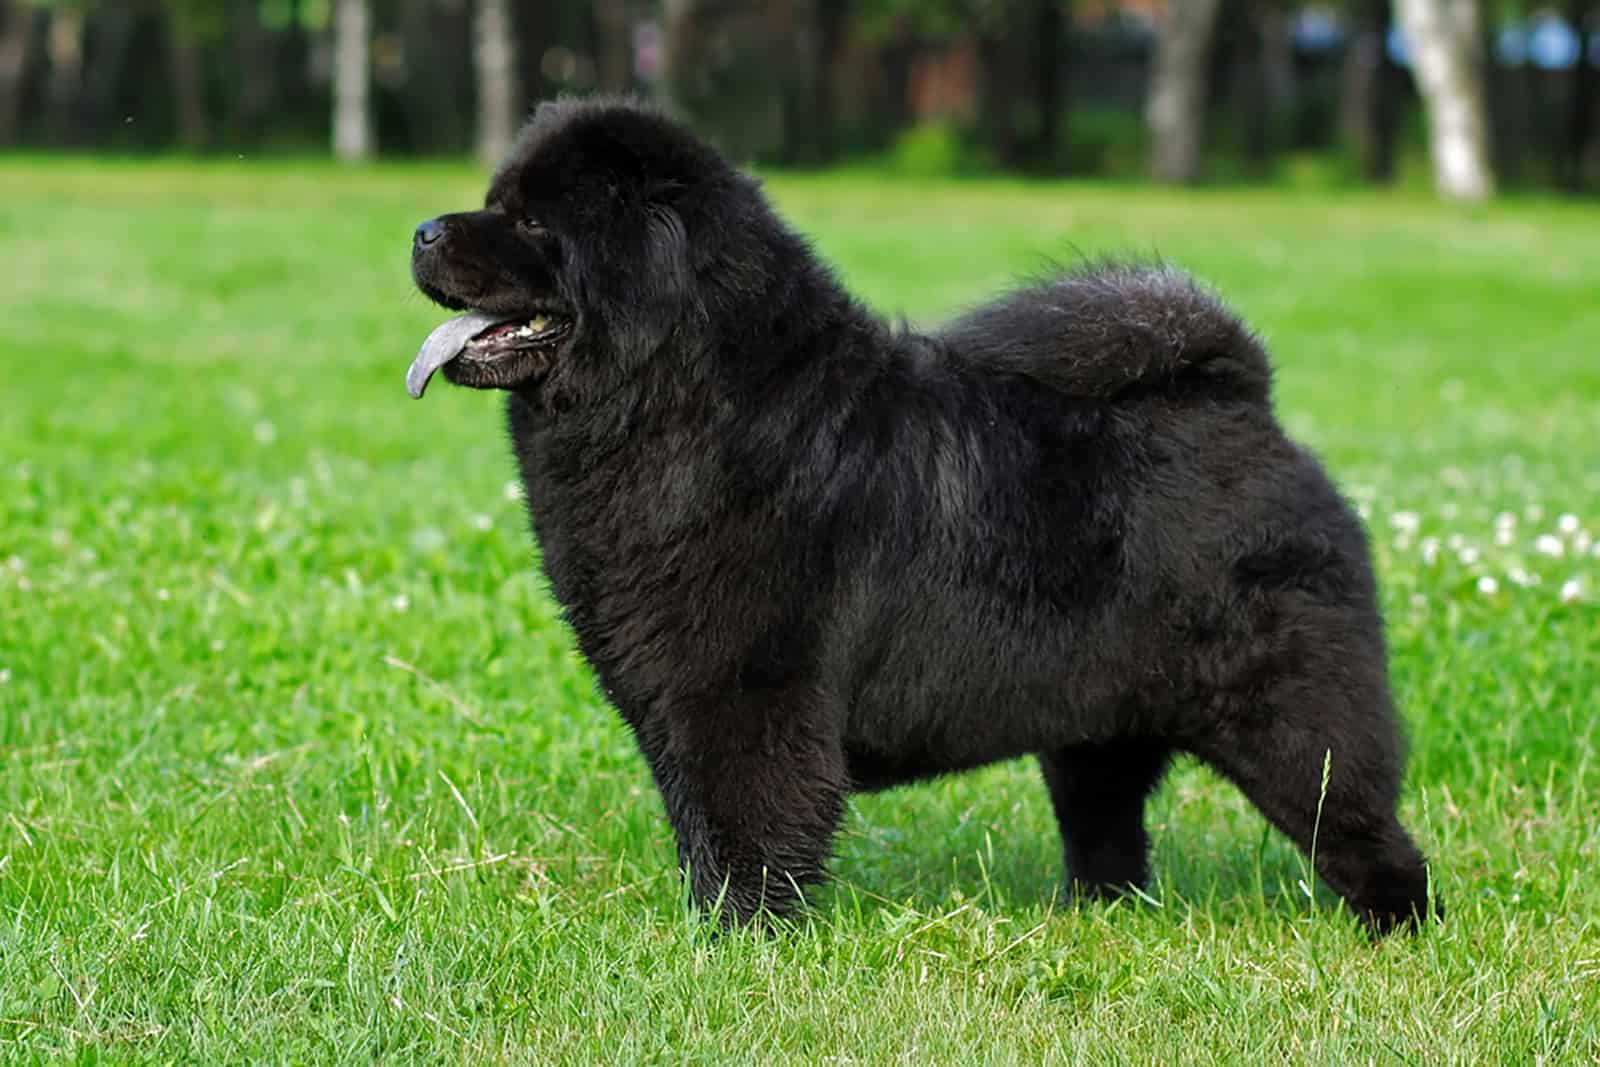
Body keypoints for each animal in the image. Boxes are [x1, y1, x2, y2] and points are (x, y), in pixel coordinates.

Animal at [406, 99, 1433, 934]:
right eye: (493, 201)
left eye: (530, 220)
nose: (421, 229)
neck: (682, 401)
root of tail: (1246, 402)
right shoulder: (675, 703)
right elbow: (701, 825)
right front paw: (711, 931)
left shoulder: (748, 693)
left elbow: (748, 827)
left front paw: (738, 941)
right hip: (1094, 728)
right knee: (1108, 829)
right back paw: (1096, 915)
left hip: (1293, 718)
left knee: (1367, 830)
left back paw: (1394, 934)